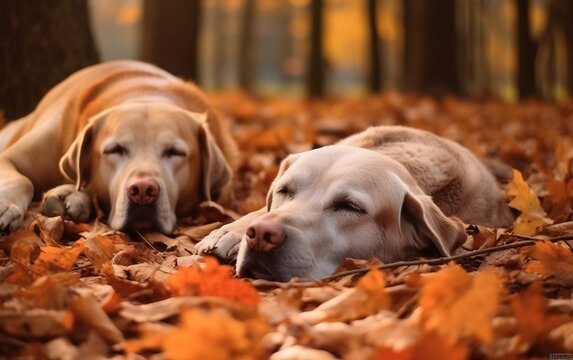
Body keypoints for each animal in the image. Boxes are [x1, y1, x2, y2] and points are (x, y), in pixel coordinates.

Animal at [0, 60, 235, 235]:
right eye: (115, 150)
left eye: (175, 152)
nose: (143, 191)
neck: (144, 93)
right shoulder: (12, 157)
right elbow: (25, 180)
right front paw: (7, 206)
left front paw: (75, 196)